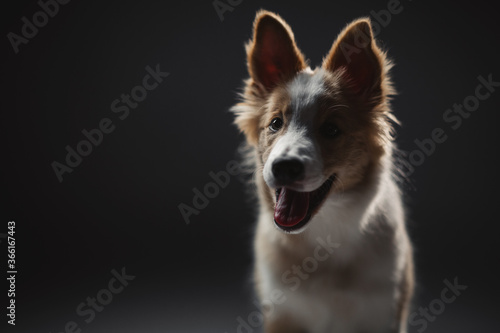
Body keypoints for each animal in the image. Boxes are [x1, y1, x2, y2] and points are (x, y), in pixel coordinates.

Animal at [230, 10, 414, 332]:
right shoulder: (282, 315)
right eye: (275, 123)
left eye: (331, 129)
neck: (324, 235)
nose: (284, 167)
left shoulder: (384, 314)